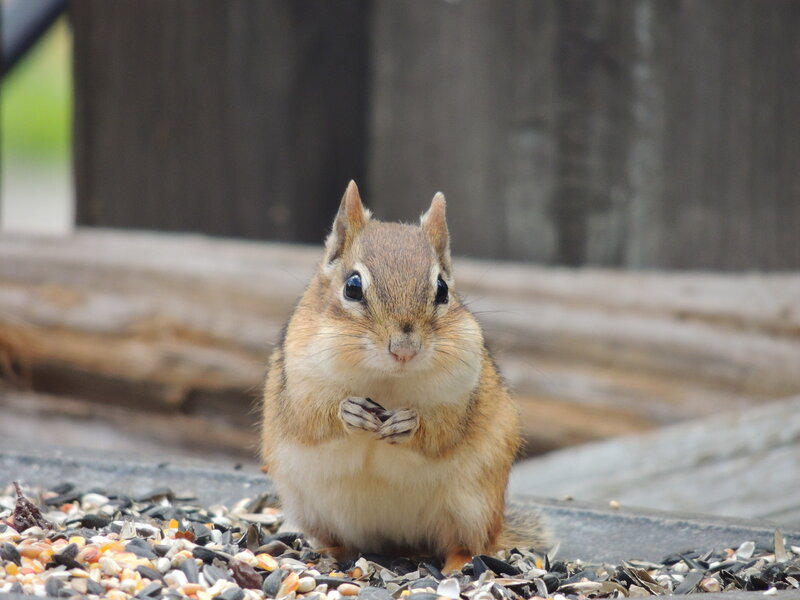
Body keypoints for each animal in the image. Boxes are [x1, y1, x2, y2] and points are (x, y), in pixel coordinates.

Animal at [260, 181, 550, 572]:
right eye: (352, 286)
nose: (404, 349)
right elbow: (312, 419)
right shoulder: (300, 384)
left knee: (466, 544)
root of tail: (398, 545)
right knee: (342, 542)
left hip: (472, 508)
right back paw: (327, 555)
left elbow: (443, 431)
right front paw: (348, 412)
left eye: (442, 289)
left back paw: (458, 565)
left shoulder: (461, 396)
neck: (386, 379)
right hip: (312, 509)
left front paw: (408, 423)